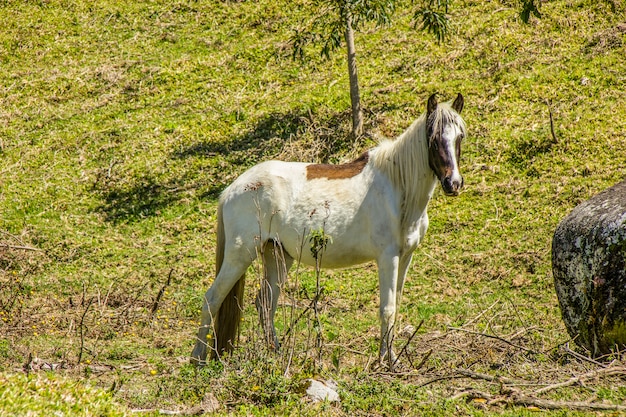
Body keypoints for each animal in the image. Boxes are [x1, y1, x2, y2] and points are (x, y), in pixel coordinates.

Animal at [190, 93, 464, 364]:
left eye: (459, 137)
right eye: (434, 139)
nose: (453, 183)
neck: (397, 188)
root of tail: (232, 189)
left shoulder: (405, 256)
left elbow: (395, 304)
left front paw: (392, 357)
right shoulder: (388, 258)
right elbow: (387, 309)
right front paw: (385, 362)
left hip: (278, 256)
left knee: (265, 304)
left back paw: (276, 354)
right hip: (240, 254)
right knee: (212, 299)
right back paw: (198, 358)